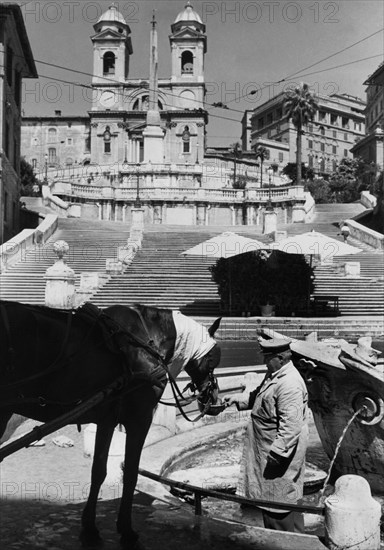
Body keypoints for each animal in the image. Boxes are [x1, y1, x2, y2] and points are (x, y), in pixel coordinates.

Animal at [0, 302, 222, 550]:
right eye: (213, 359)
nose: (213, 398)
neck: (146, 339)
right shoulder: (140, 419)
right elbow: (131, 473)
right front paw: (126, 529)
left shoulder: (107, 419)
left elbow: (98, 471)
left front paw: (89, 527)